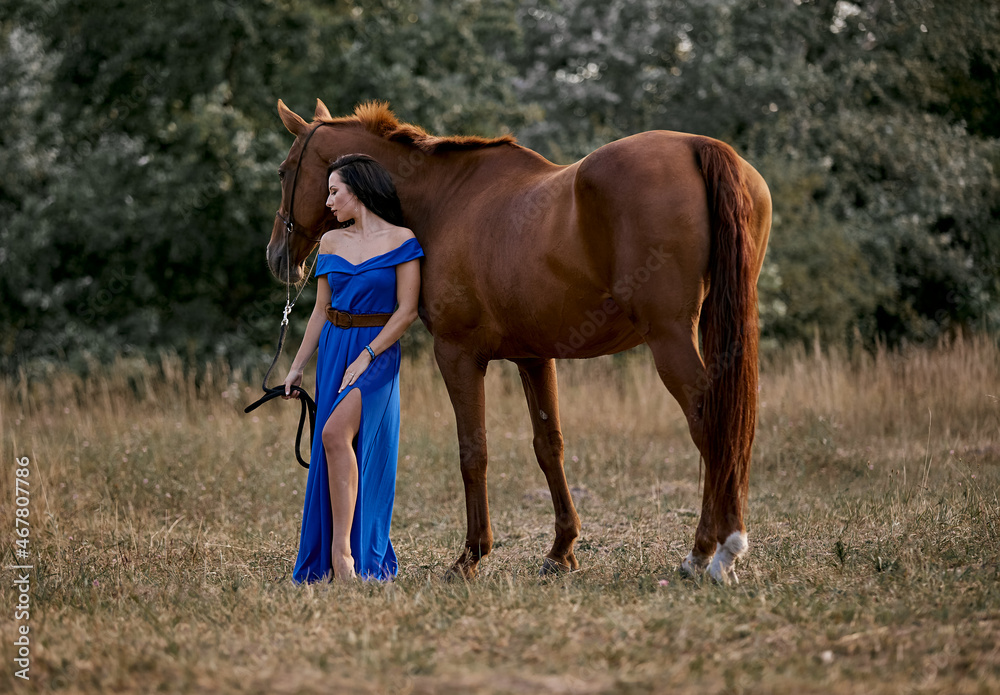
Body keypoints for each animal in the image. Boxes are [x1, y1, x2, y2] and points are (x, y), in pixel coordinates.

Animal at [267, 99, 771, 584]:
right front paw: (561, 551)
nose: (276, 257)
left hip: (669, 337)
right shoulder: (534, 357)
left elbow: (473, 451)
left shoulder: (458, 355)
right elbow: (549, 446)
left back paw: (711, 552)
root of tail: (698, 146)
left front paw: (470, 557)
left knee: (711, 425)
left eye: (285, 170)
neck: (445, 201)